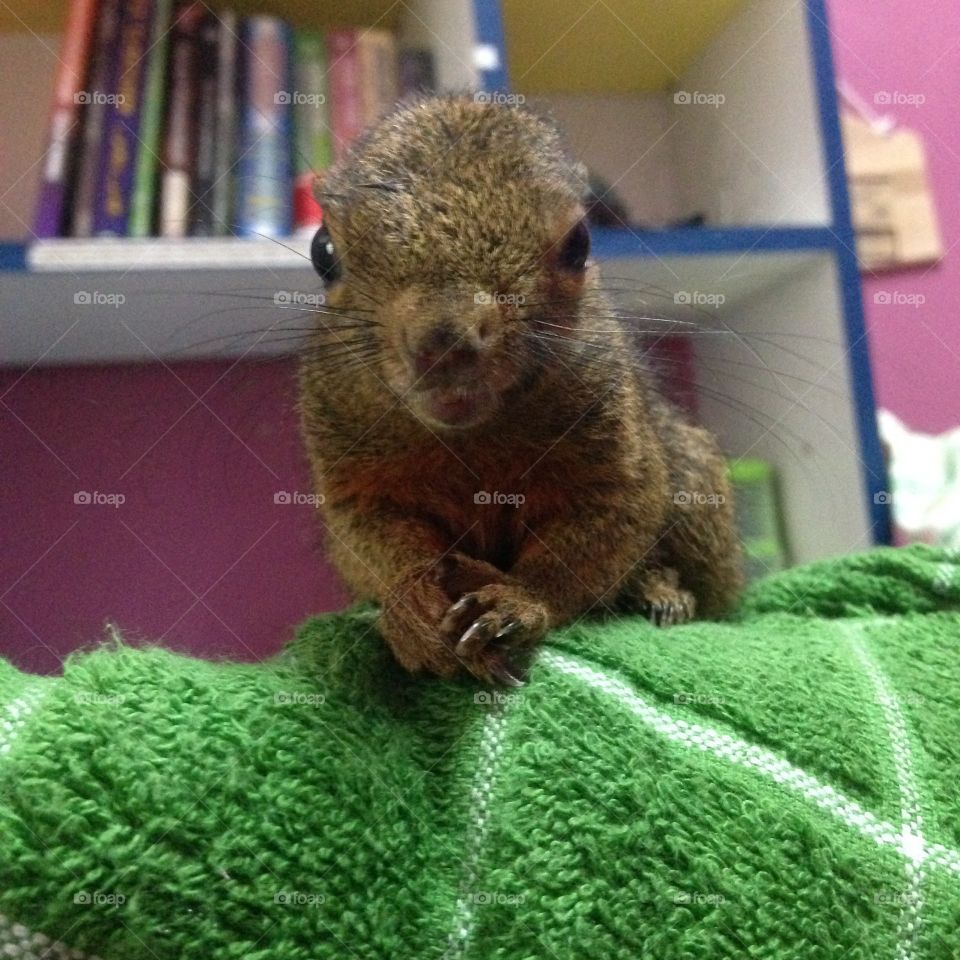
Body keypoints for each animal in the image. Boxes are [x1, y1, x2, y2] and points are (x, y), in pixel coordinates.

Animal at [299, 95, 743, 686]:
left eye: (579, 244)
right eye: (322, 250)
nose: (444, 340)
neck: (472, 439)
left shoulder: (618, 472)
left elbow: (595, 542)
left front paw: (517, 602)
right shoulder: (355, 481)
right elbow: (373, 544)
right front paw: (412, 605)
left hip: (696, 491)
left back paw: (661, 591)